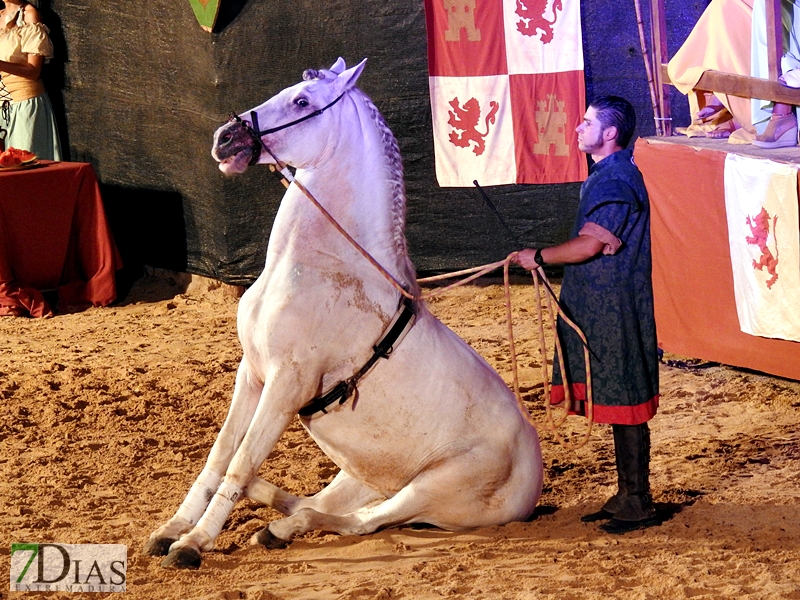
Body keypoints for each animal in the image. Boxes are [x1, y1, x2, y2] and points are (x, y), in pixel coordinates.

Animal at [144, 56, 544, 568]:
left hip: (428, 489)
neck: (316, 267)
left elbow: (242, 459)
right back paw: (271, 511)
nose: (225, 138)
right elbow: (220, 454)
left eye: (301, 101)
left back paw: (280, 530)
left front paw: (192, 546)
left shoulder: (287, 383)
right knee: (320, 503)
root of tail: (532, 481)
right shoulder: (251, 374)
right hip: (361, 474)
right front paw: (170, 531)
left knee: (360, 522)